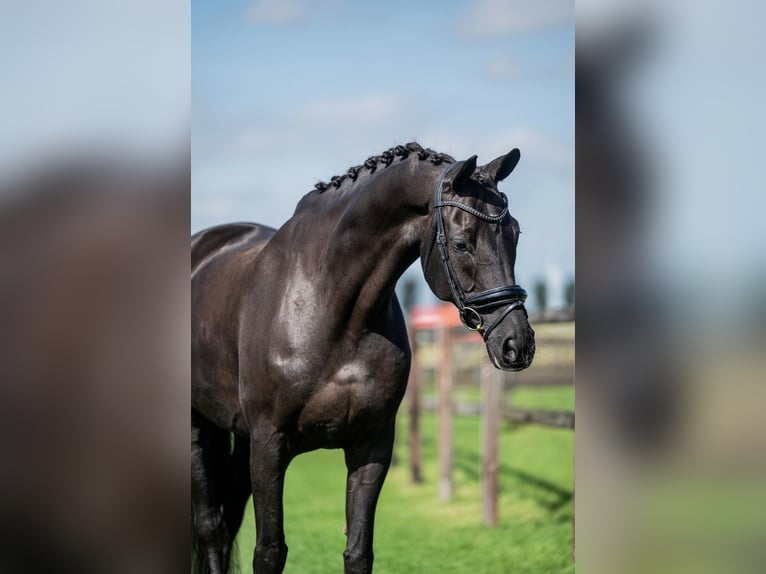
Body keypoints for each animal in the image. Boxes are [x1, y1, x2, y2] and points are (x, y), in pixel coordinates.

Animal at [191, 142, 535, 574]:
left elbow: (358, 552)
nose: (517, 344)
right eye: (461, 242)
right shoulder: (269, 445)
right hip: (200, 428)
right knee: (210, 528)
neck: (330, 305)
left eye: (515, 234)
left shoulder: (371, 445)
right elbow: (269, 552)